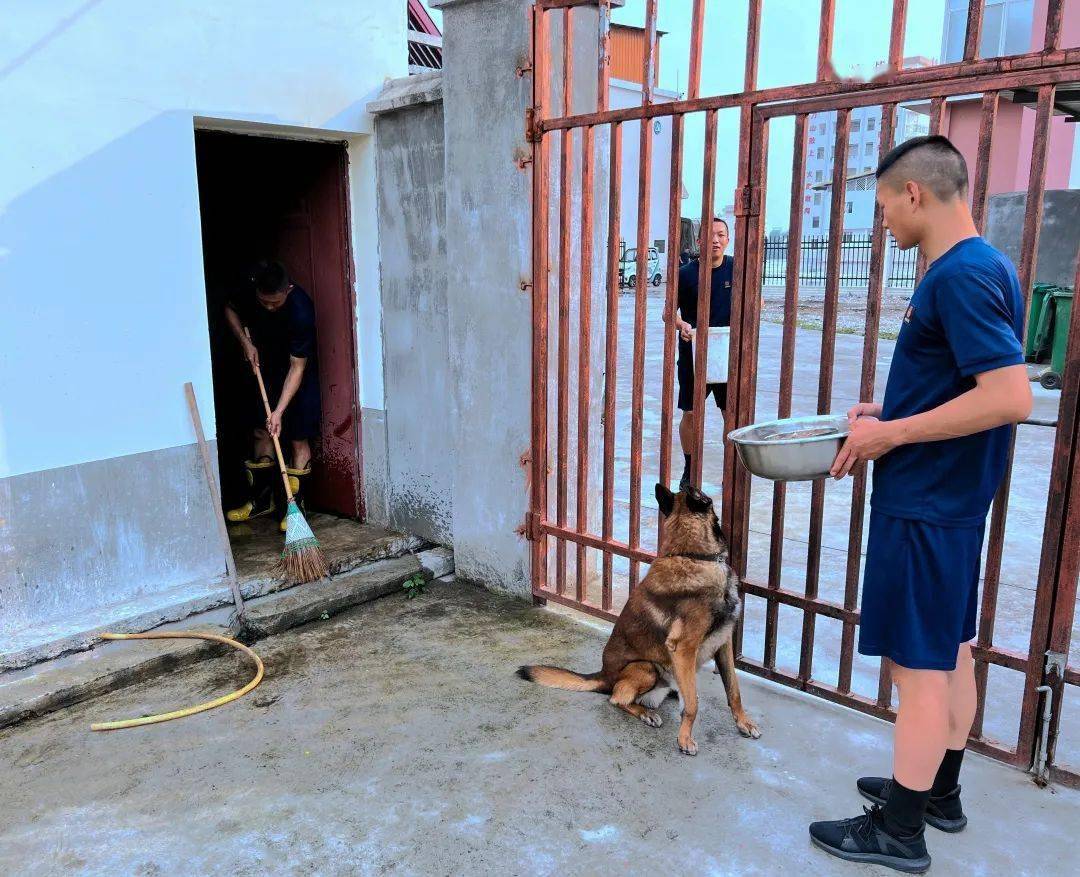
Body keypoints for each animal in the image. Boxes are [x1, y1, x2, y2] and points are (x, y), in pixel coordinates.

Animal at [516, 483, 760, 756]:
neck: (694, 556)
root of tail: (603, 676)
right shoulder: (683, 648)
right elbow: (693, 704)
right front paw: (684, 738)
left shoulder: (723, 644)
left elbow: (734, 691)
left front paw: (744, 723)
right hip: (646, 667)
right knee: (617, 697)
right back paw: (645, 712)